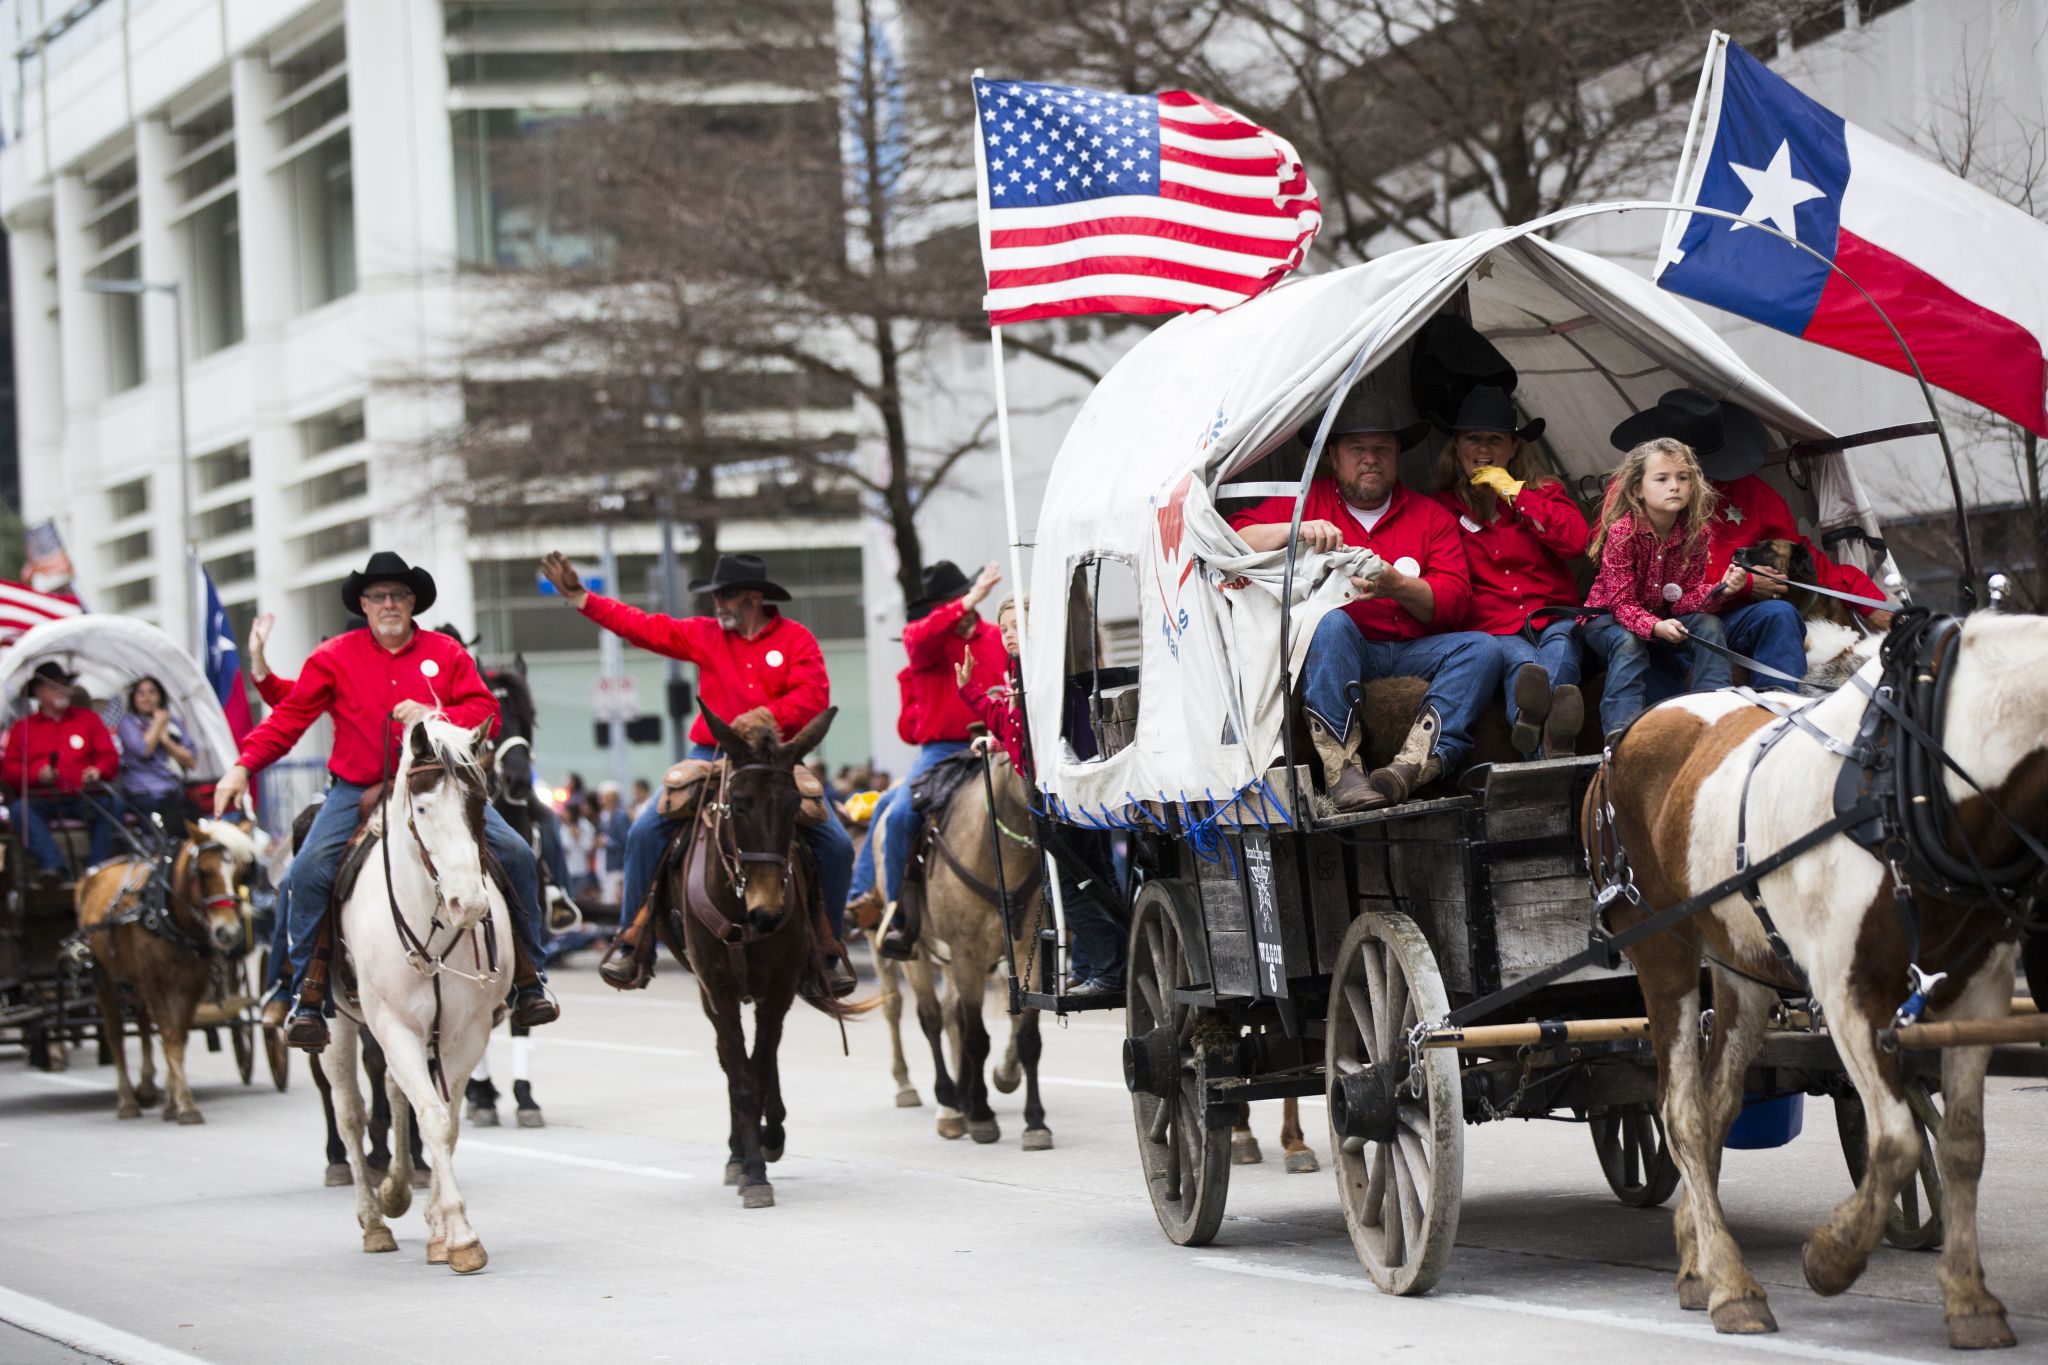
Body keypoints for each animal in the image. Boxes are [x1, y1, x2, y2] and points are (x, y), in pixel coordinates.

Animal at [75, 822, 258, 1121]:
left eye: (242, 871)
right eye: (203, 872)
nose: (227, 932)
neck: (169, 915)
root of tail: (93, 875)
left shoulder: (191, 984)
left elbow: (177, 1036)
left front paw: (173, 1103)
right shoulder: (156, 983)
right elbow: (170, 1037)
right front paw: (185, 1106)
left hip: (135, 982)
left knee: (143, 1025)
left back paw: (147, 1087)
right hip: (103, 978)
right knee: (115, 1033)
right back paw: (127, 1101)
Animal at [329, 720, 516, 1277]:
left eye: (478, 803)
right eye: (425, 807)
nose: (468, 904)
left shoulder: (466, 1030)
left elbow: (446, 1122)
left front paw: (440, 1229)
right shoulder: (393, 1026)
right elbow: (432, 1116)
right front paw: (462, 1236)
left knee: (395, 1093)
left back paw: (396, 1192)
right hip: (336, 1027)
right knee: (350, 1112)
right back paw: (373, 1221)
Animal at [655, 703, 864, 1203]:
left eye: (791, 804)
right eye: (740, 802)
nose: (767, 910)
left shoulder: (779, 987)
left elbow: (762, 1064)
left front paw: (767, 1144)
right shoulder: (719, 988)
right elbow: (742, 1075)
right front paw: (750, 1170)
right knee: (729, 1060)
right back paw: (736, 1152)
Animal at [1589, 613, 2039, 1350]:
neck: (1911, 781)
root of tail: (1622, 739)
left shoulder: (1982, 986)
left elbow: (1961, 1144)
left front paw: (1971, 1300)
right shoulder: (1848, 987)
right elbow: (1897, 1140)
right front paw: (1832, 1257)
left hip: (1741, 965)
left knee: (1715, 1106)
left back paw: (1701, 1261)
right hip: (1661, 952)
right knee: (1681, 1111)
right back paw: (1733, 1287)